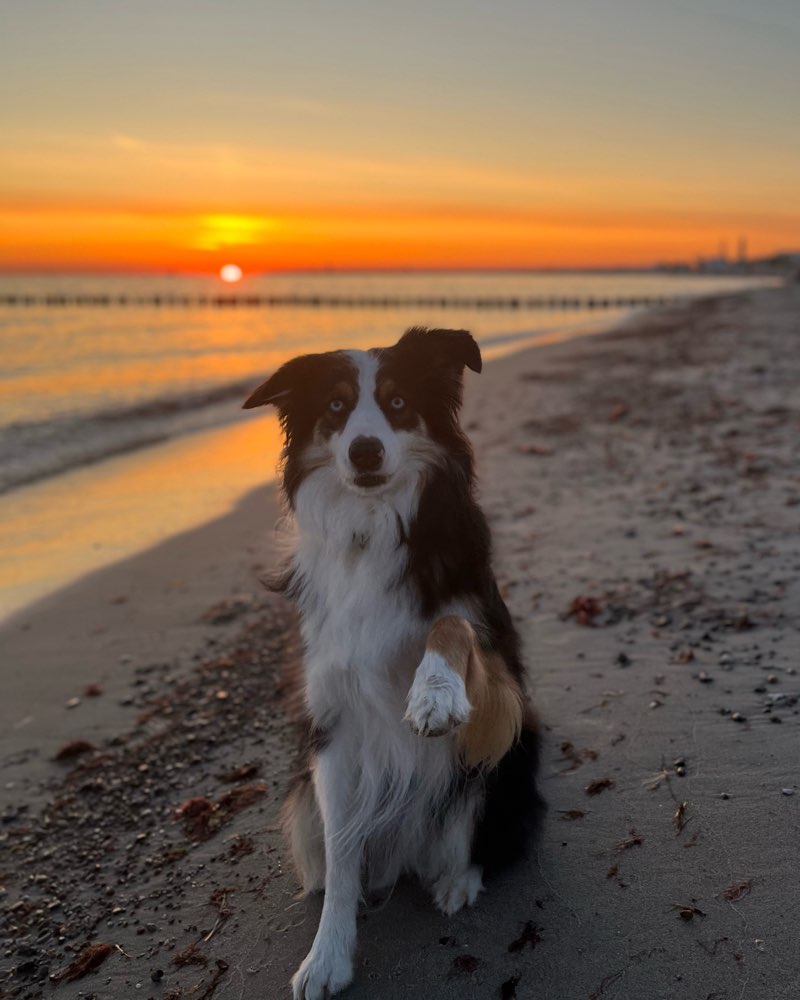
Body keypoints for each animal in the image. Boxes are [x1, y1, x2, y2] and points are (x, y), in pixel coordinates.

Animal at [244, 330, 544, 1000]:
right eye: (334, 407)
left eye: (399, 401)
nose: (364, 449)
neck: (371, 524)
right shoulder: (331, 725)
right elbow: (341, 851)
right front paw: (327, 955)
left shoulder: (503, 683)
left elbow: (451, 624)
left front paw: (434, 692)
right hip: (301, 798)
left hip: (508, 762)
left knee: (481, 839)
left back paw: (457, 881)